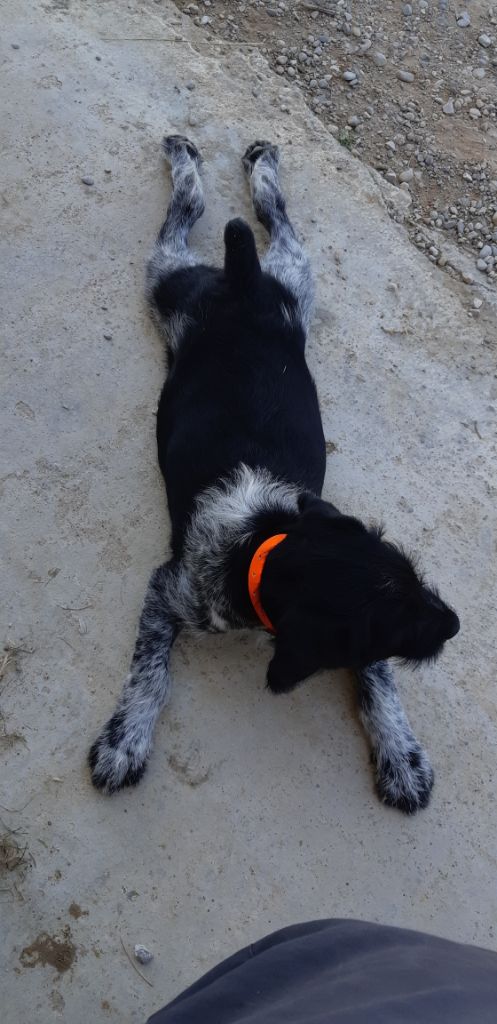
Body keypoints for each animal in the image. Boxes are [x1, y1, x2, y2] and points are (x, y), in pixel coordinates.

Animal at [87, 136, 459, 811]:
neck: (259, 539)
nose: (456, 624)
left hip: (292, 276)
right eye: (397, 628)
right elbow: (148, 671)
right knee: (187, 212)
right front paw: (125, 738)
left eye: (415, 576)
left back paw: (260, 164)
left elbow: (379, 684)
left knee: (275, 220)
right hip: (167, 282)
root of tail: (243, 286)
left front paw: (401, 751)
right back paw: (186, 158)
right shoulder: (167, 591)